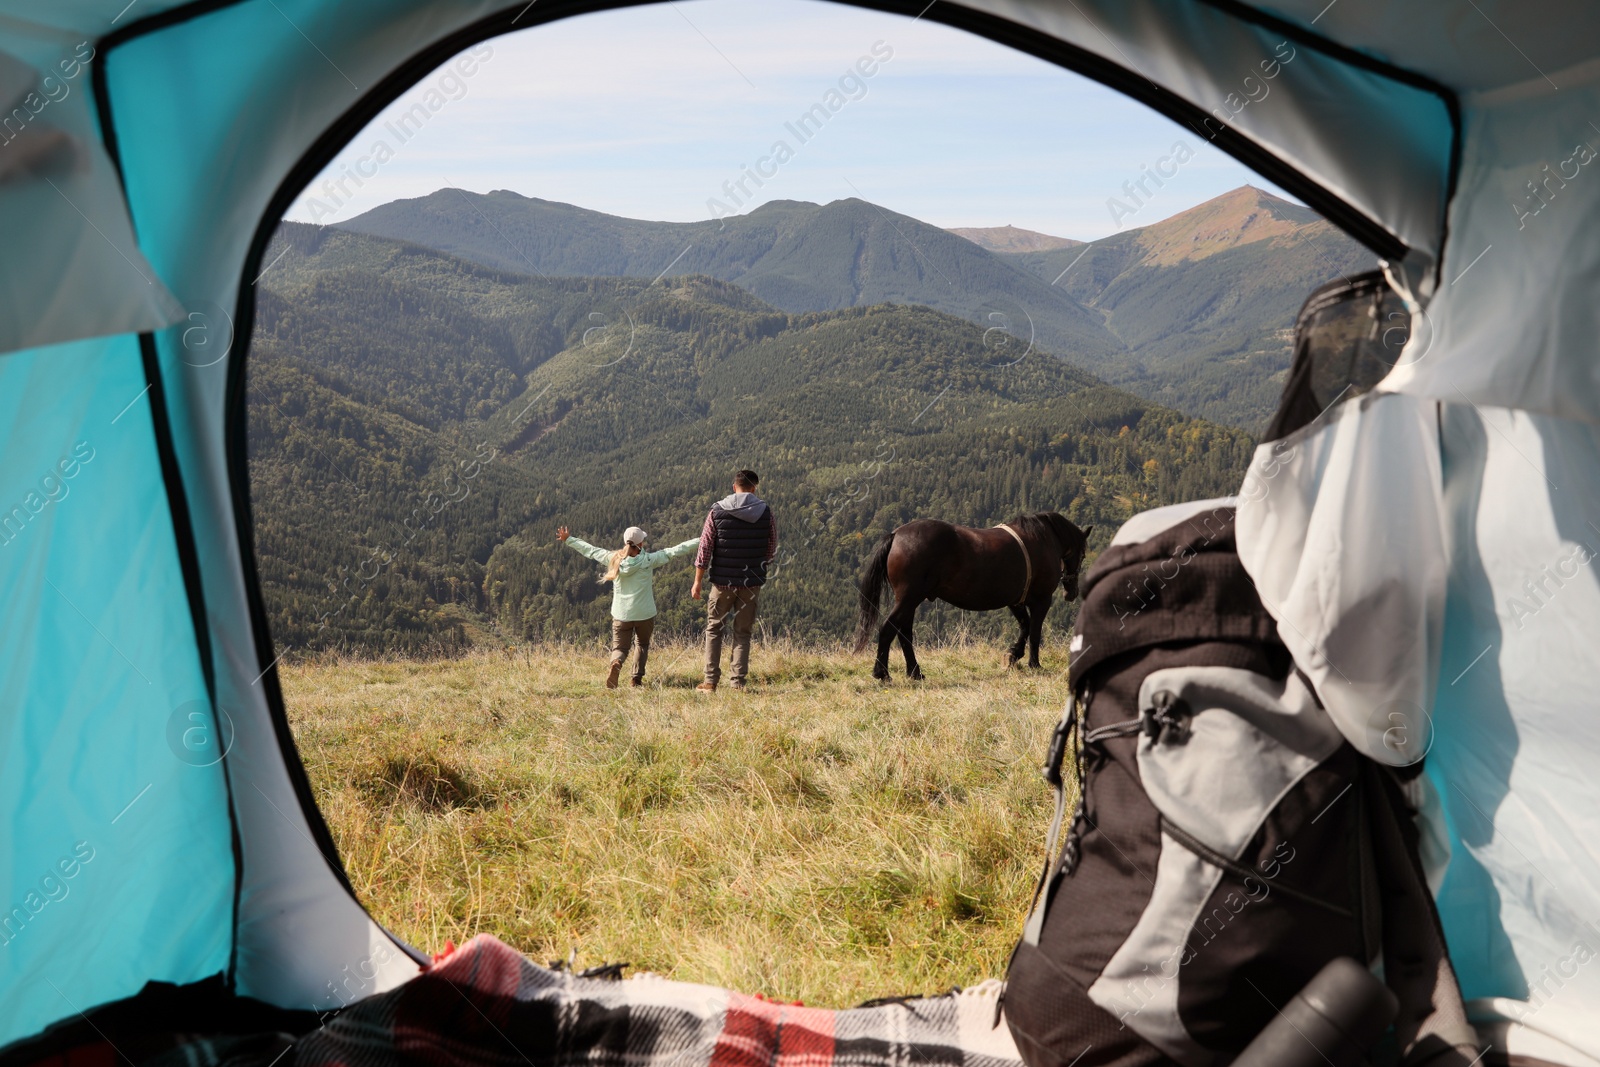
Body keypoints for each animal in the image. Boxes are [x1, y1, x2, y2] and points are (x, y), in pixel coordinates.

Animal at [857, 511, 1094, 681]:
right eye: (1083, 554)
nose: (1072, 592)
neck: (1043, 540)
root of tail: (896, 535)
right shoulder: (1041, 599)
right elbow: (1035, 632)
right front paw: (1034, 664)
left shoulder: (1015, 600)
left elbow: (1025, 627)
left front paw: (1013, 655)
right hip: (909, 598)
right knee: (888, 629)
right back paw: (882, 673)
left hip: (910, 601)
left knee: (904, 633)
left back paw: (915, 672)